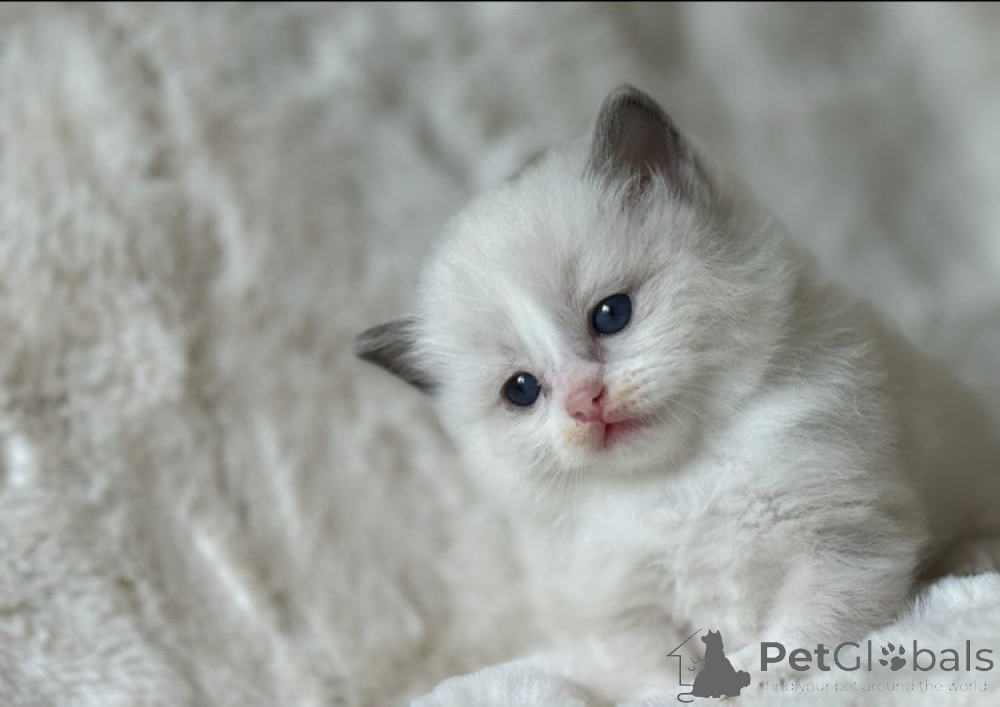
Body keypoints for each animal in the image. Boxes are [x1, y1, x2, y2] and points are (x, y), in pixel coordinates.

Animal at [355, 85, 1000, 705]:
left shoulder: (846, 542)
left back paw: (971, 563)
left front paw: (752, 682)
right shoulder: (620, 609)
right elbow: (650, 671)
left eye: (612, 314)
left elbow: (796, 637)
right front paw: (676, 694)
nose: (585, 401)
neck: (679, 483)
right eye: (521, 390)